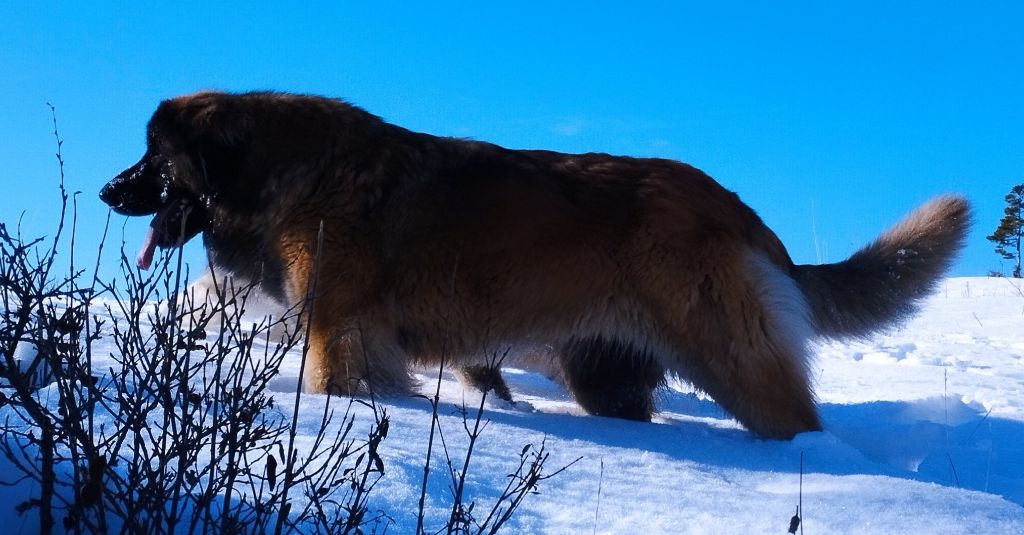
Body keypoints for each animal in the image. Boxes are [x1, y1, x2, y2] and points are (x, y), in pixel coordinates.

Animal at [99, 91, 970, 436]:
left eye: (154, 160)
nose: (109, 190)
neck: (288, 170)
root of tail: (740, 209)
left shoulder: (339, 331)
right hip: (605, 373)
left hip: (726, 346)